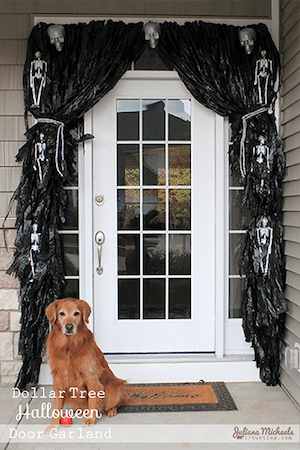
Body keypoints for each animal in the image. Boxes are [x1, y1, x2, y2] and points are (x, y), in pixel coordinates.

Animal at [43, 298, 126, 432]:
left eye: (76, 313)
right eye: (62, 313)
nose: (69, 327)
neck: (69, 347)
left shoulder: (91, 377)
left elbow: (93, 400)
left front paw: (90, 420)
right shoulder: (59, 379)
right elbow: (57, 406)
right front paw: (53, 424)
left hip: (113, 387)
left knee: (112, 403)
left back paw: (111, 410)